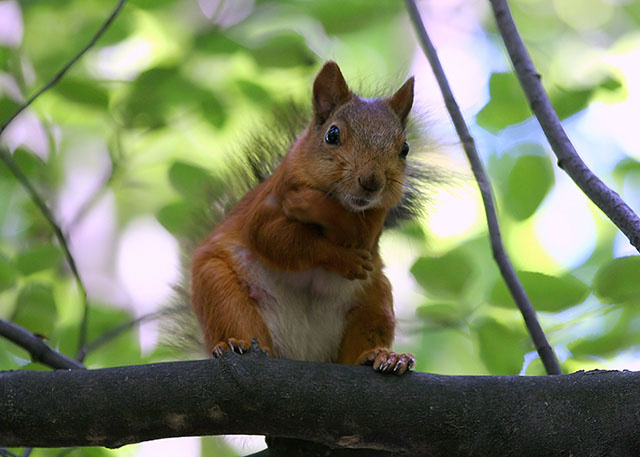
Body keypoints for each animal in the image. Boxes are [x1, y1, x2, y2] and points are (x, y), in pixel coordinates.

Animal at [190, 61, 416, 375]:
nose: (372, 182)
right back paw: (237, 344)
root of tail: (303, 354)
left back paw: (381, 356)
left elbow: (356, 234)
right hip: (219, 289)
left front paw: (312, 206)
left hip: (375, 301)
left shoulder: (374, 221)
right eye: (332, 135)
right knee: (239, 321)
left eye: (404, 148)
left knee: (361, 343)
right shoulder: (267, 207)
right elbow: (275, 240)